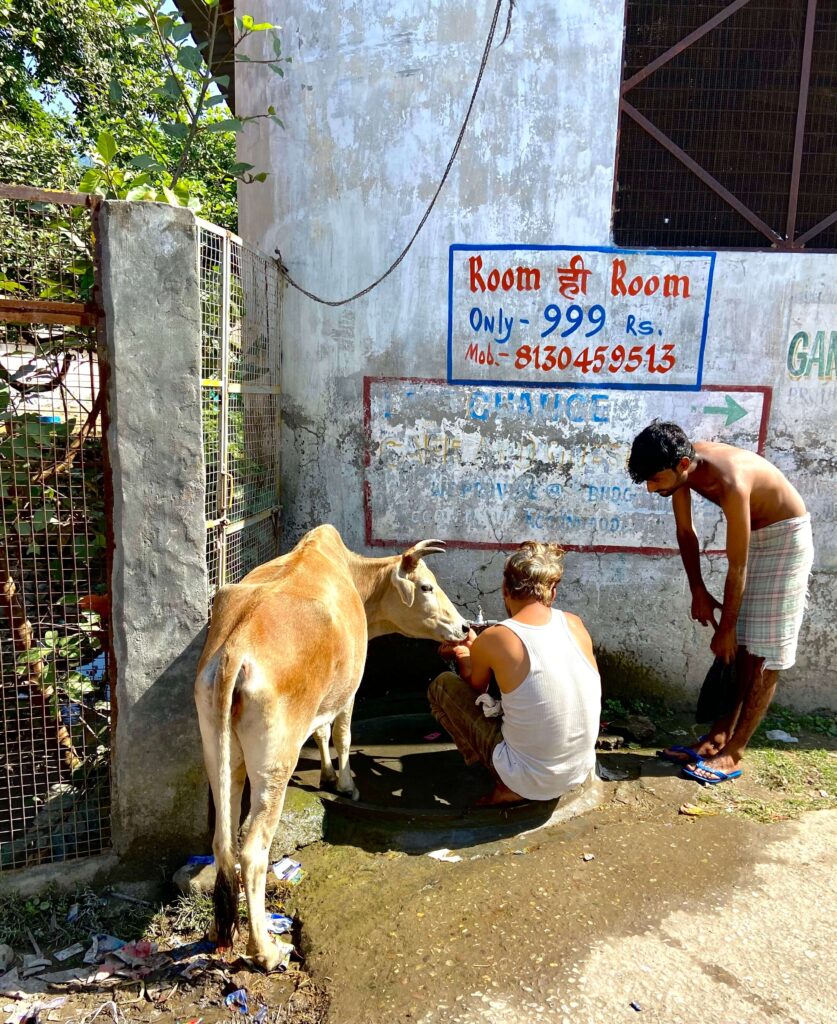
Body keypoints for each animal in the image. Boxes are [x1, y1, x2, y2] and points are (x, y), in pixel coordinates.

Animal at [195, 528, 471, 966]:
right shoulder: (350, 688)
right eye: (427, 586)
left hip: (220, 754)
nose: (463, 627)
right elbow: (342, 735)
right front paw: (345, 783)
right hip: (275, 763)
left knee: (224, 844)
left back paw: (222, 933)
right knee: (253, 852)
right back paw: (265, 950)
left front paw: (326, 773)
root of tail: (234, 649)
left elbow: (322, 733)